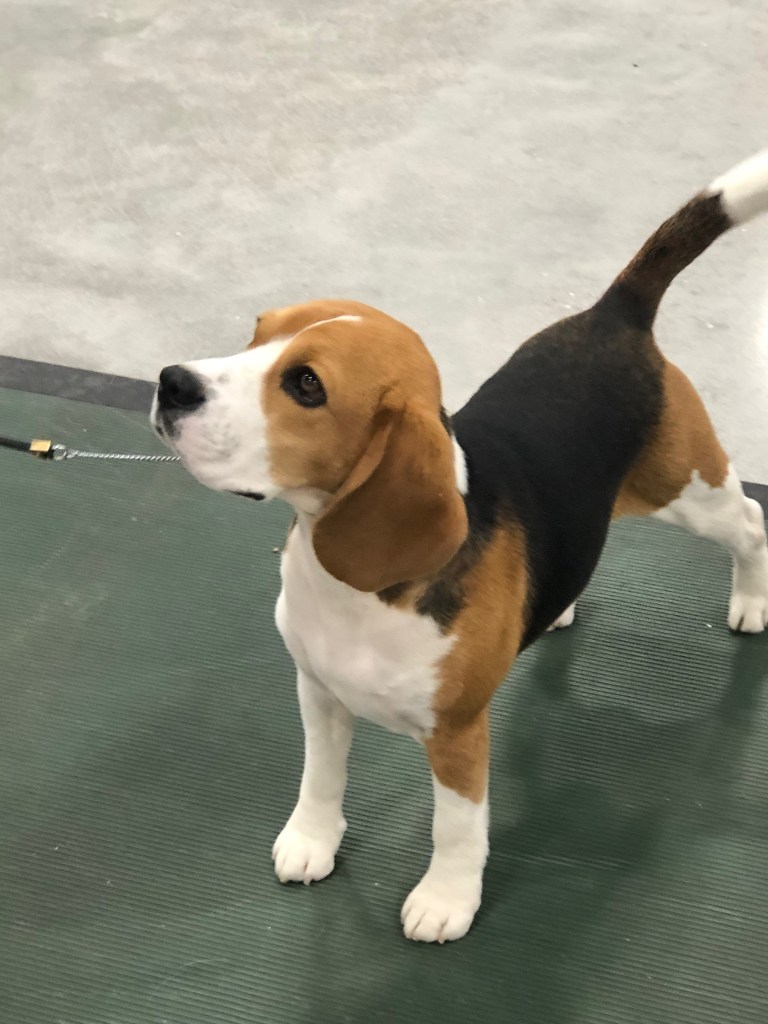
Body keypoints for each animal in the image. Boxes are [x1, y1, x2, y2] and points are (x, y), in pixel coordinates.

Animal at [152, 148, 768, 943]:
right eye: (256, 331)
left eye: (306, 385)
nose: (170, 382)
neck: (353, 591)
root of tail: (614, 314)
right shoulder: (318, 693)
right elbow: (320, 778)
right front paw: (312, 840)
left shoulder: (457, 734)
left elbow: (456, 828)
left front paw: (446, 900)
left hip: (688, 489)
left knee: (751, 519)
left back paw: (751, 601)